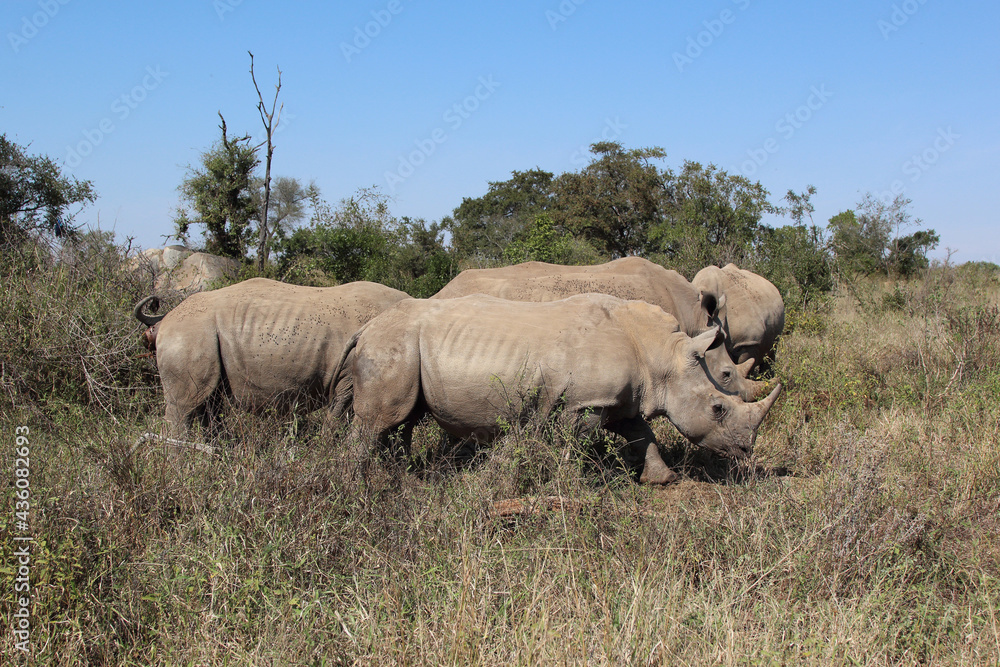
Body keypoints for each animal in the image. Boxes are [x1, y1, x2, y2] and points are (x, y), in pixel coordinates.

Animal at [134, 277, 410, 438]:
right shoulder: (351, 375)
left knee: (209, 405)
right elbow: (339, 415)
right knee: (183, 407)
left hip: (200, 336)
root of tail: (165, 321)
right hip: (188, 334)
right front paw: (327, 450)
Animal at [335, 293, 781, 484]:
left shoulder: (623, 399)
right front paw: (569, 486)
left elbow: (643, 434)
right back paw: (359, 485)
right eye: (718, 408)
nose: (746, 452)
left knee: (402, 421)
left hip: (399, 347)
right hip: (391, 345)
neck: (662, 357)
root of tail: (365, 327)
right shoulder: (584, 403)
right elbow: (574, 445)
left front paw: (663, 480)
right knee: (378, 423)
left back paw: (400, 477)